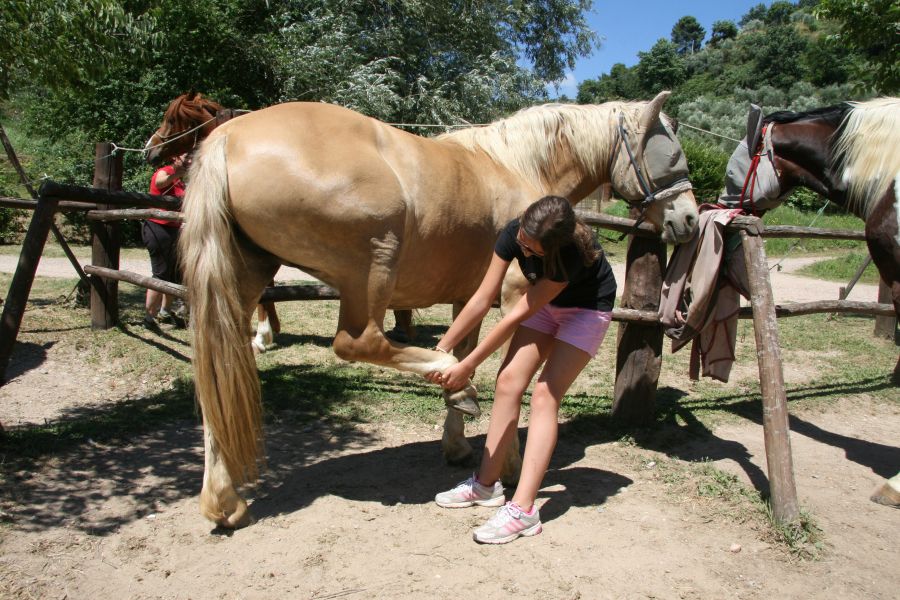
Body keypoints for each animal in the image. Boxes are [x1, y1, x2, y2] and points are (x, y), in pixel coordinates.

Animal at [148, 91, 700, 528]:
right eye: (670, 153)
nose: (692, 220)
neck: (515, 164)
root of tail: (227, 138)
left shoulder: (468, 296)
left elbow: (473, 348)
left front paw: (458, 443)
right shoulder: (516, 294)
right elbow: (508, 375)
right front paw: (506, 457)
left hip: (241, 283)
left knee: (219, 377)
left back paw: (224, 501)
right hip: (373, 264)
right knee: (360, 342)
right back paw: (444, 369)